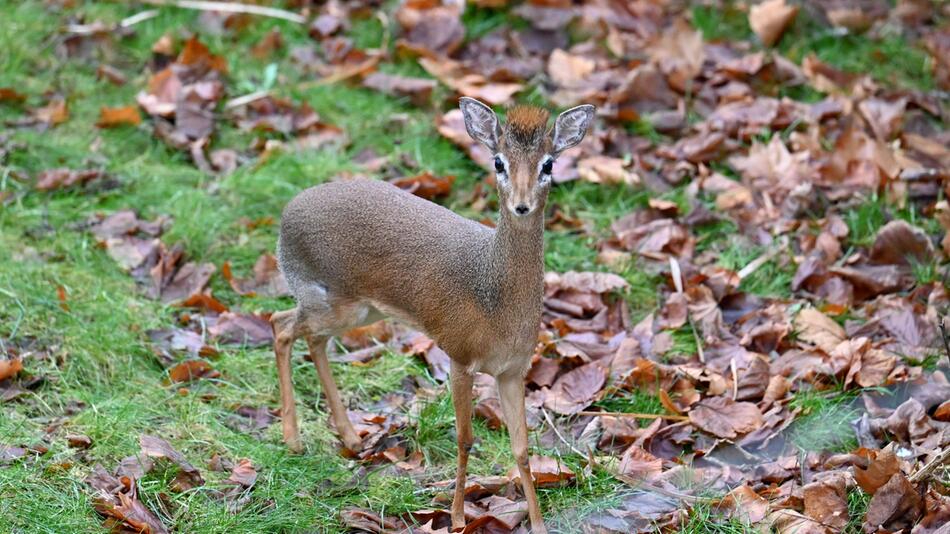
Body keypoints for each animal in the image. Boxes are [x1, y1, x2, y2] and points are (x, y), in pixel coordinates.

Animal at [270, 97, 596, 532]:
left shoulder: (512, 371)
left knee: (308, 337)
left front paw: (539, 524)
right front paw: (457, 516)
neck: (495, 297)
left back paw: (351, 438)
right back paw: (293, 440)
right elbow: (465, 439)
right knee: (280, 327)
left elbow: (522, 448)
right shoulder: (459, 357)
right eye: (498, 162)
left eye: (548, 164)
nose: (522, 205)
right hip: (330, 302)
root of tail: (287, 214)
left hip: (356, 311)